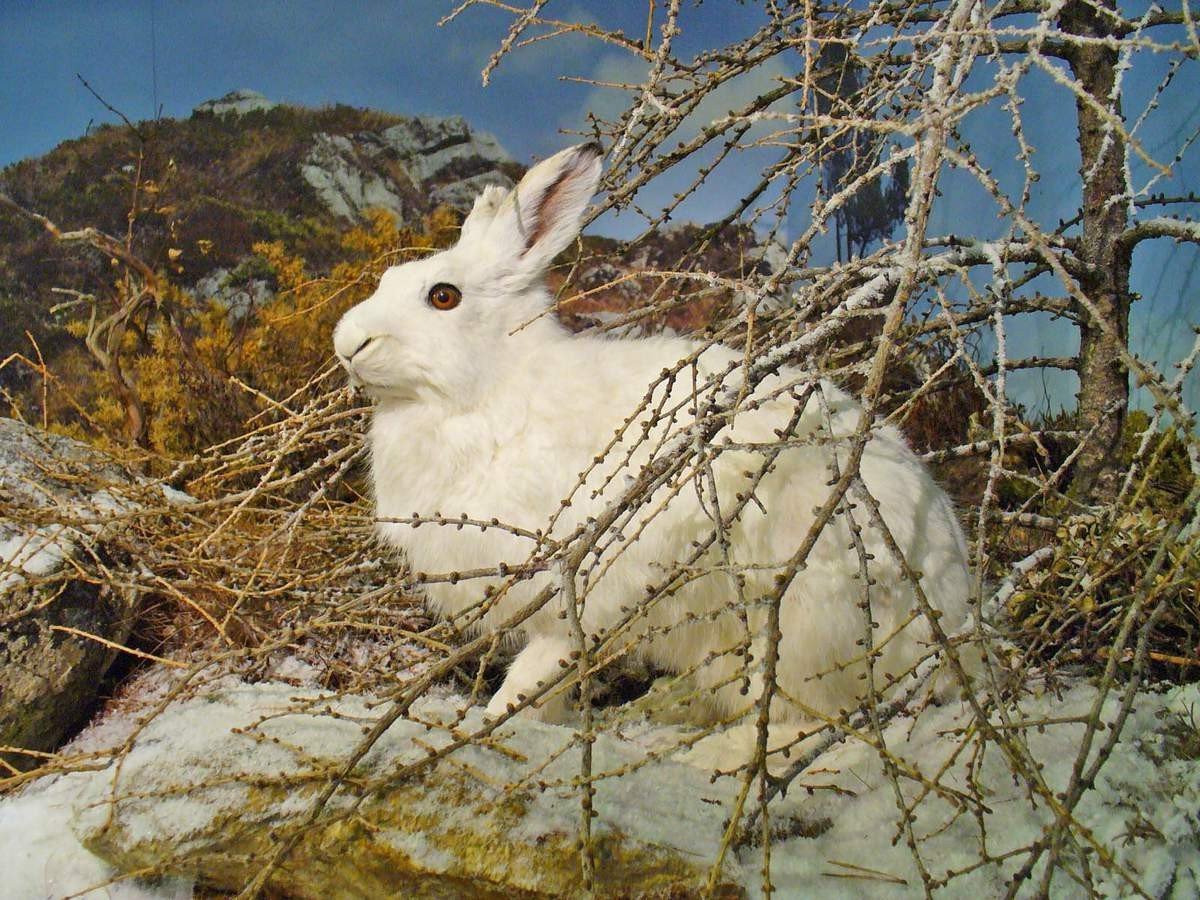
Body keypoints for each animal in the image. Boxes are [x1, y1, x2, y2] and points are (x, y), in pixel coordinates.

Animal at [333, 143, 972, 726]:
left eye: (443, 296)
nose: (347, 343)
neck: (489, 387)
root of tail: (952, 617)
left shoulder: (573, 586)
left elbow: (540, 670)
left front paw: (496, 722)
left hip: (795, 619)